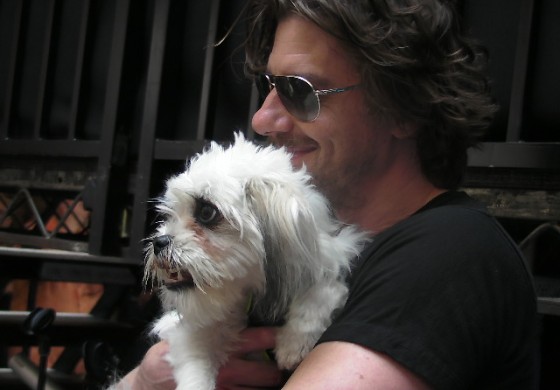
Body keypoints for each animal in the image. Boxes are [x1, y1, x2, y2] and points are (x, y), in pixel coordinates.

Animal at [143, 133, 368, 388]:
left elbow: (322, 290)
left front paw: (293, 342)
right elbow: (195, 364)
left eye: (207, 212)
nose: (159, 241)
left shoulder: (328, 261)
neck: (250, 298)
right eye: (169, 215)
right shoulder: (195, 332)